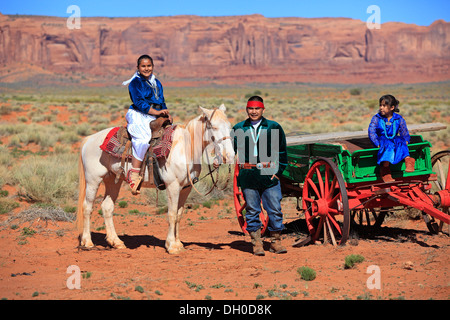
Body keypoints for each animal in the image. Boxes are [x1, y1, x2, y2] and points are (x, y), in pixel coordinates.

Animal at [76, 106, 234, 254]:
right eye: (213, 126)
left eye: (229, 126)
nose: (230, 156)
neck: (185, 148)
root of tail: (88, 139)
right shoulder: (173, 186)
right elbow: (171, 214)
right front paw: (171, 246)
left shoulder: (186, 188)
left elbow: (179, 215)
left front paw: (178, 243)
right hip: (93, 180)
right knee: (87, 207)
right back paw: (87, 242)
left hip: (113, 180)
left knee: (107, 207)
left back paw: (116, 242)